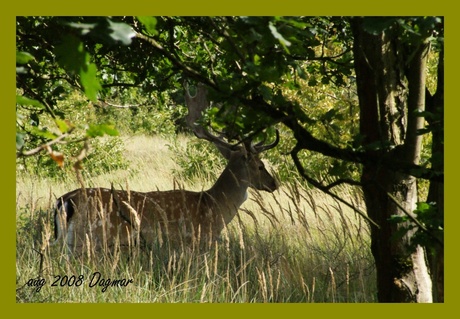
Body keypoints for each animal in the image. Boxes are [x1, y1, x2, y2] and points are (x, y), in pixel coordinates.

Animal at [52, 84, 278, 254]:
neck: (212, 208)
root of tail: (65, 200)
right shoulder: (195, 243)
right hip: (90, 237)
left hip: (69, 241)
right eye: (260, 165)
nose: (274, 183)